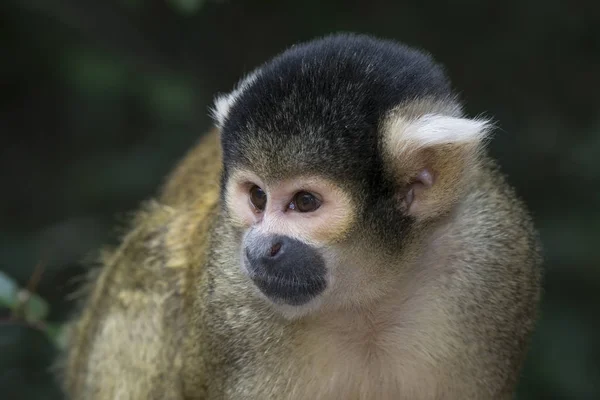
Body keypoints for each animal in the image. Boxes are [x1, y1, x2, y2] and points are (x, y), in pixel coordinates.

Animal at [59, 32, 544, 398]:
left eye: (305, 202)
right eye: (257, 196)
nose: (259, 248)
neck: (366, 299)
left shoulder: (494, 258)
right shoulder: (229, 305)